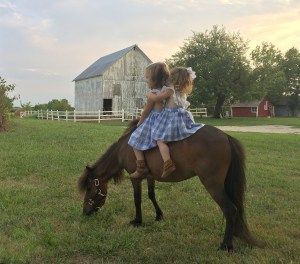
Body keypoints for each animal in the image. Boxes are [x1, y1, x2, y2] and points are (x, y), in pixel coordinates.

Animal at [78, 120, 258, 251]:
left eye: (90, 188)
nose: (85, 212)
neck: (126, 147)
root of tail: (226, 136)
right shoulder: (150, 177)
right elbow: (151, 195)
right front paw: (159, 215)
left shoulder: (135, 179)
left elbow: (137, 199)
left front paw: (137, 221)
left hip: (213, 185)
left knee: (230, 210)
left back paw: (226, 245)